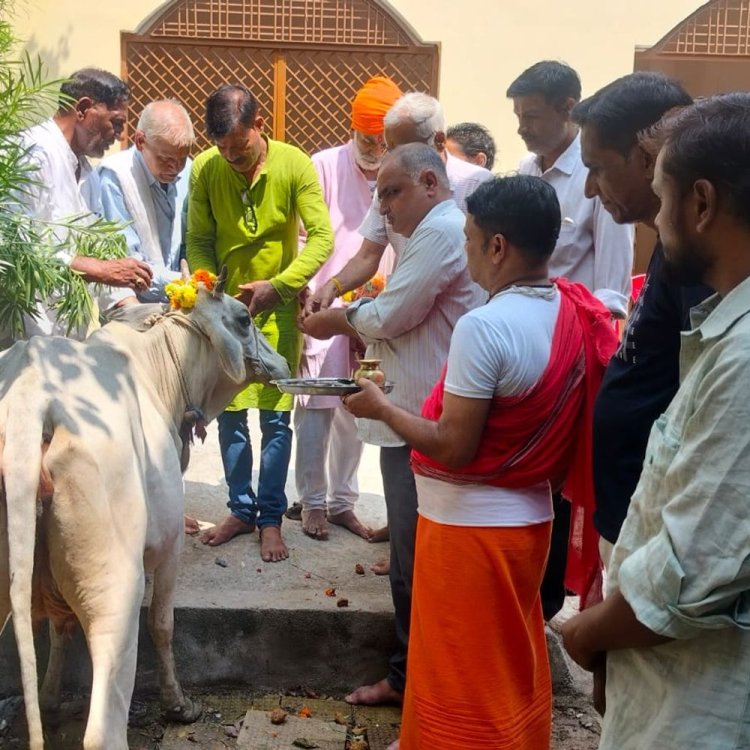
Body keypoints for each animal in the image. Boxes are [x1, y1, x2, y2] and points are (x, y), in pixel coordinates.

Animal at [0, 268, 290, 748]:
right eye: (244, 317)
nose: (283, 364)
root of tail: (31, 397)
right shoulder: (171, 545)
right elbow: (162, 623)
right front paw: (178, 705)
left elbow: (60, 629)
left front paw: (50, 699)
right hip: (115, 587)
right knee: (104, 727)